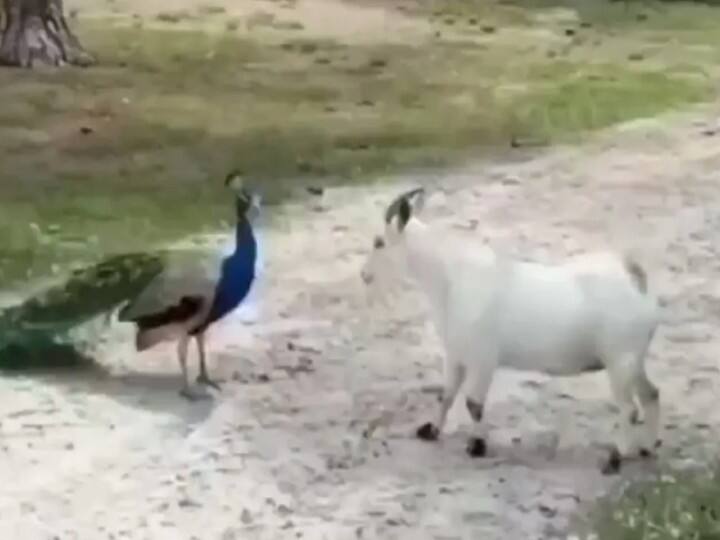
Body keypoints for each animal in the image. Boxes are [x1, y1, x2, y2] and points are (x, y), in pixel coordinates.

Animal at [360, 187, 661, 474]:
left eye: (379, 242)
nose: (364, 275)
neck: (450, 278)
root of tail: (635, 279)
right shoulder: (455, 353)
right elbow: (446, 395)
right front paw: (431, 430)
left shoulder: (482, 358)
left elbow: (473, 403)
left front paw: (477, 445)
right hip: (632, 359)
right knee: (651, 394)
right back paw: (648, 446)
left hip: (619, 359)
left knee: (629, 409)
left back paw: (615, 458)